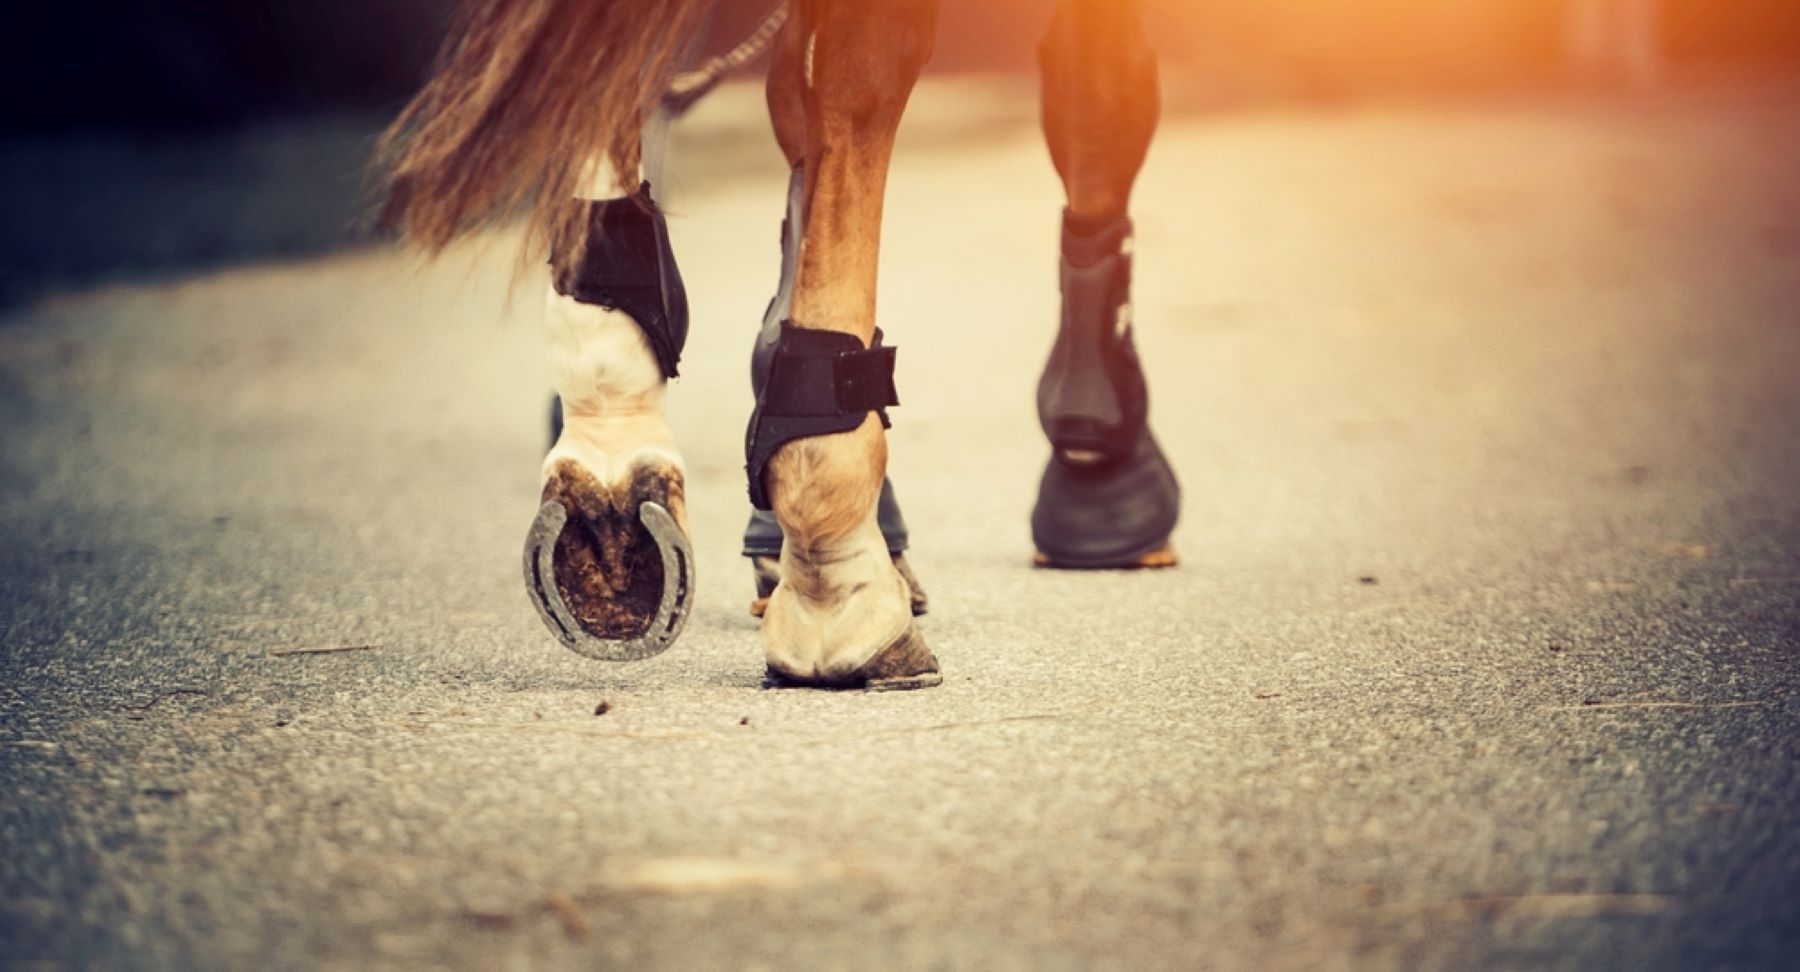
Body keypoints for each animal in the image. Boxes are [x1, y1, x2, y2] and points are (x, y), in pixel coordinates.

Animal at [378, 0, 1180, 690]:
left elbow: (795, 115)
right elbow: (1099, 101)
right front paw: (1106, 489)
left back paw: (610, 473)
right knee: (868, 78)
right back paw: (842, 583)